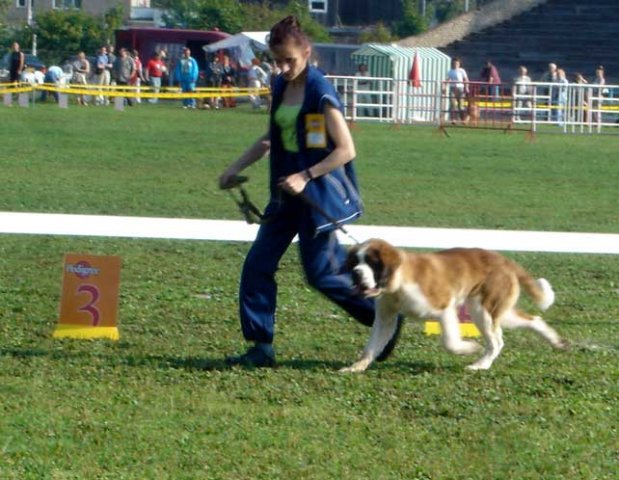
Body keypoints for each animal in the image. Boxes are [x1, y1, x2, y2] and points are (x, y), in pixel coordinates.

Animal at [342, 239, 568, 372]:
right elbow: (371, 346)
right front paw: (357, 367)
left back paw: (480, 365)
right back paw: (555, 341)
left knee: (497, 341)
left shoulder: (444, 309)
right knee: (533, 320)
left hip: (483, 310)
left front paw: (469, 348)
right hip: (494, 311)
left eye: (372, 262)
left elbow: (449, 342)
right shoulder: (385, 319)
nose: (356, 273)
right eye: (355, 262)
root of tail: (503, 260)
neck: (399, 280)